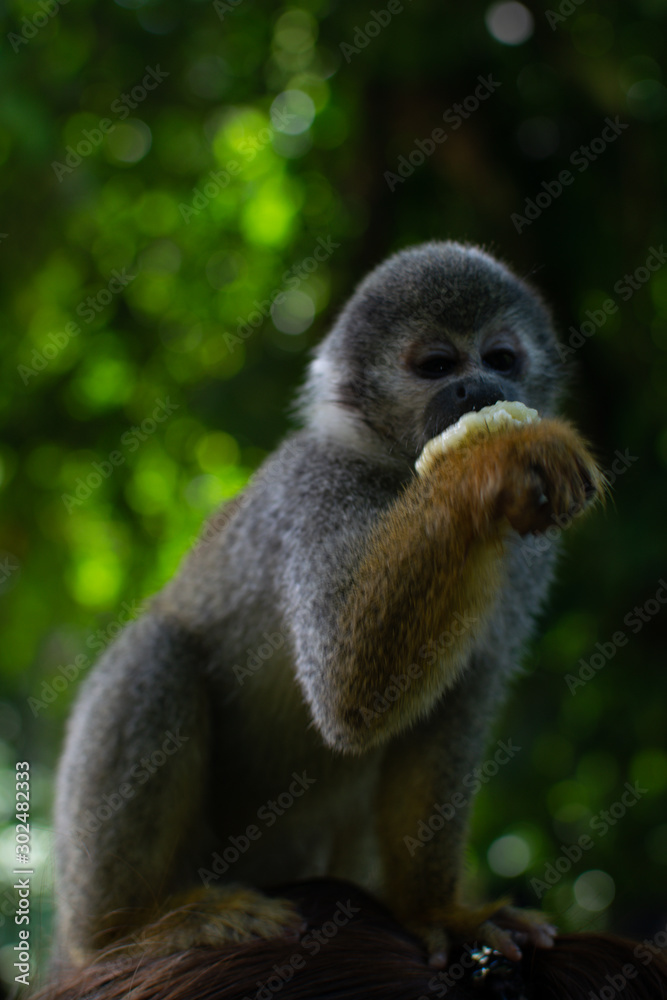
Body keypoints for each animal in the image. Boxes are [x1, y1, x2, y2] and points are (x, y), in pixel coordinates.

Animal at [54, 240, 604, 971]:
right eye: (437, 365)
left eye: (500, 358)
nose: (479, 389)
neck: (399, 471)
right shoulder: (314, 485)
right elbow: (350, 689)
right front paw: (491, 460)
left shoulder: (530, 558)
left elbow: (454, 704)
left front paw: (438, 911)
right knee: (157, 651)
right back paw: (130, 930)